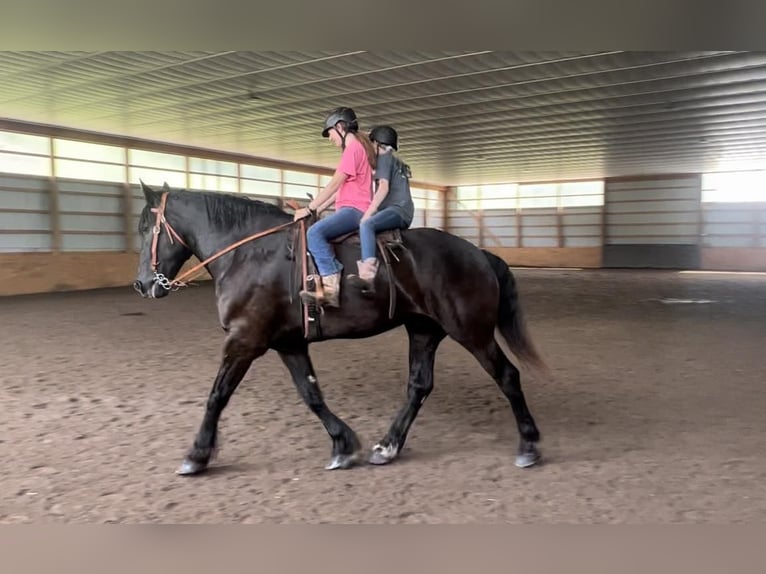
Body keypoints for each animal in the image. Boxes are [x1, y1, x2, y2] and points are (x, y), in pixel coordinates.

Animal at [134, 182, 552, 474]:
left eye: (146, 229)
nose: (142, 284)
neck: (248, 255)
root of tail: (478, 253)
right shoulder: (288, 343)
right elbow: (311, 395)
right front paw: (343, 445)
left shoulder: (244, 341)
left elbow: (217, 396)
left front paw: (196, 455)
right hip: (424, 330)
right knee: (419, 386)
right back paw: (387, 446)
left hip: (472, 332)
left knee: (507, 376)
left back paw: (529, 446)